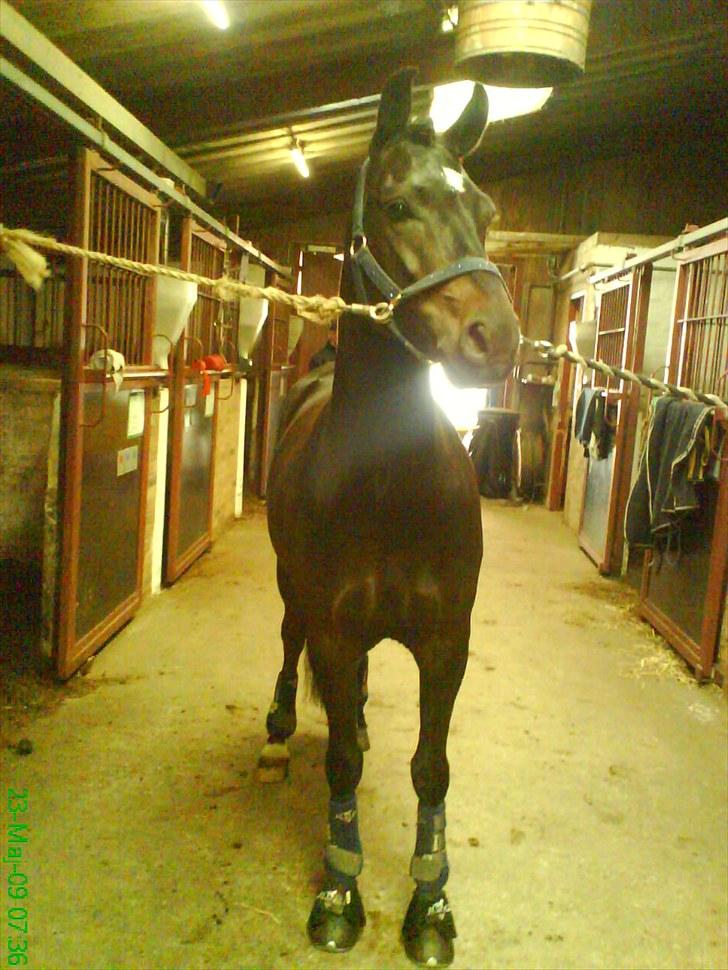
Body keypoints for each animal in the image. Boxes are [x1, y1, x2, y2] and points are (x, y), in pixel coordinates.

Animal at [259, 68, 520, 966]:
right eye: (399, 204)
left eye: (486, 210)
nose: (495, 337)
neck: (390, 488)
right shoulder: (336, 633)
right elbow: (338, 761)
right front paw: (340, 889)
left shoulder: (447, 643)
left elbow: (430, 769)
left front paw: (430, 905)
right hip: (293, 591)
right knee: (289, 641)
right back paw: (277, 724)